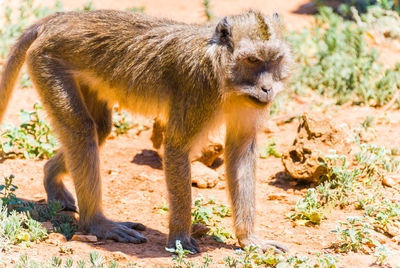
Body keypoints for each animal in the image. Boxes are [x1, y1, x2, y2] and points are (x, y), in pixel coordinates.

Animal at [0, 8, 294, 252]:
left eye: (274, 60)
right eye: (252, 60)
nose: (267, 88)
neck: (224, 76)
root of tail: (59, 20)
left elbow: (241, 151)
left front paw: (248, 239)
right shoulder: (198, 89)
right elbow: (176, 148)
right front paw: (179, 238)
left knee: (99, 130)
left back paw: (51, 178)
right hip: (47, 61)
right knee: (82, 131)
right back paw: (96, 223)